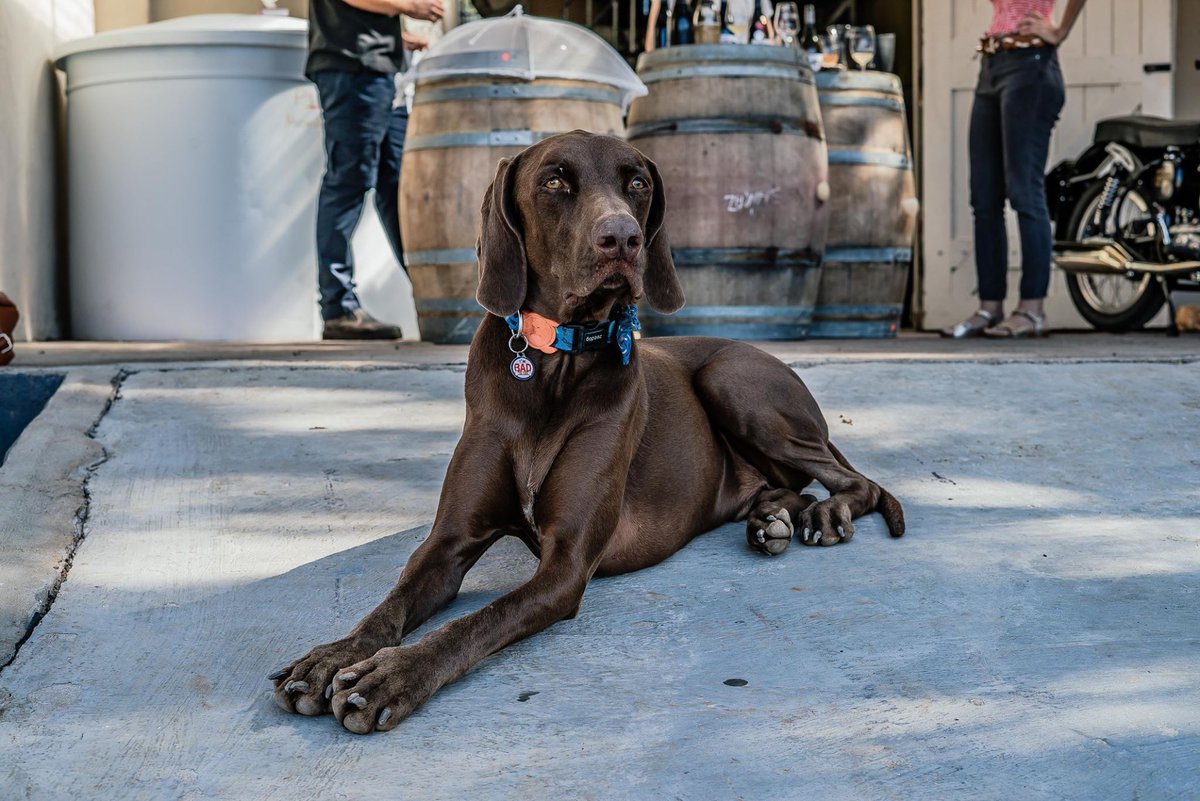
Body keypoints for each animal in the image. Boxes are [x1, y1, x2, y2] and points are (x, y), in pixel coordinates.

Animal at [272, 130, 902, 733]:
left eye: (638, 183)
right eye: (554, 182)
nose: (622, 238)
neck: (555, 361)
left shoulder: (566, 565)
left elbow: (475, 622)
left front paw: (391, 676)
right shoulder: (448, 543)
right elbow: (391, 603)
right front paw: (332, 657)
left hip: (733, 381)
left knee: (858, 483)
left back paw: (820, 515)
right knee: (792, 485)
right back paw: (771, 519)